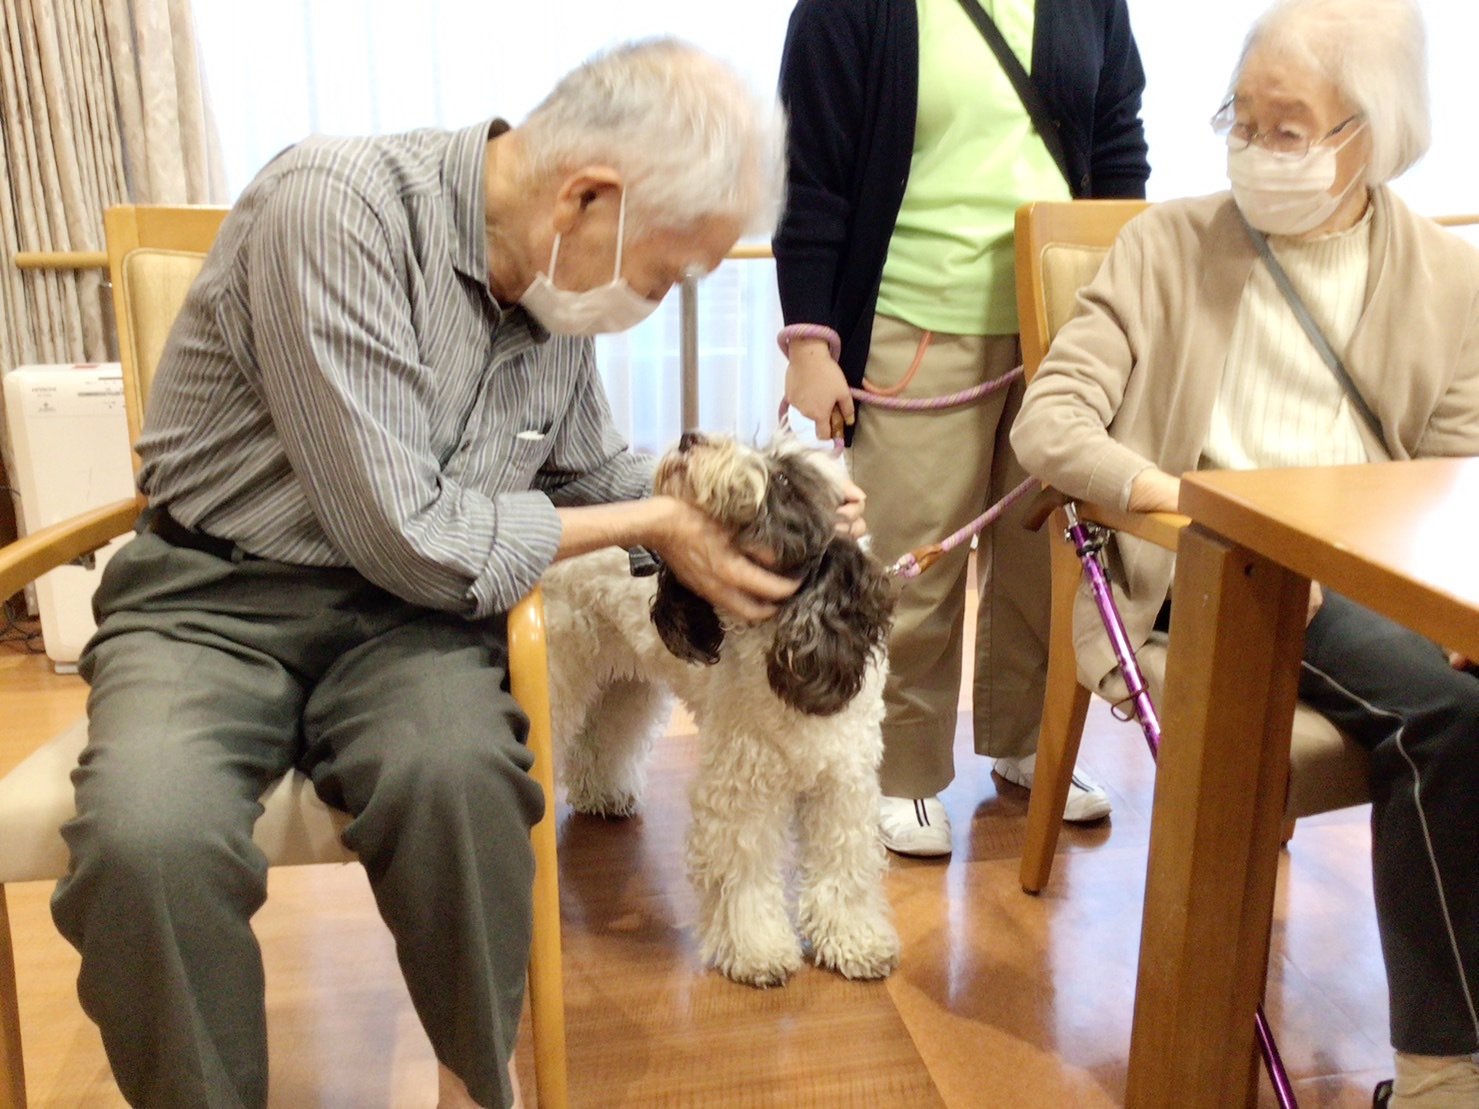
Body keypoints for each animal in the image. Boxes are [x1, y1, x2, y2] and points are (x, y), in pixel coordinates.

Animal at [538, 434, 893, 987]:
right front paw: (756, 952)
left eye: (785, 479)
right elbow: (744, 876)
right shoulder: (741, 788)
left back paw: (604, 793)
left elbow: (844, 870)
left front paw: (853, 941)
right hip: (563, 669)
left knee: (604, 736)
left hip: (625, 681)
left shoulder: (844, 786)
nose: (691, 437)